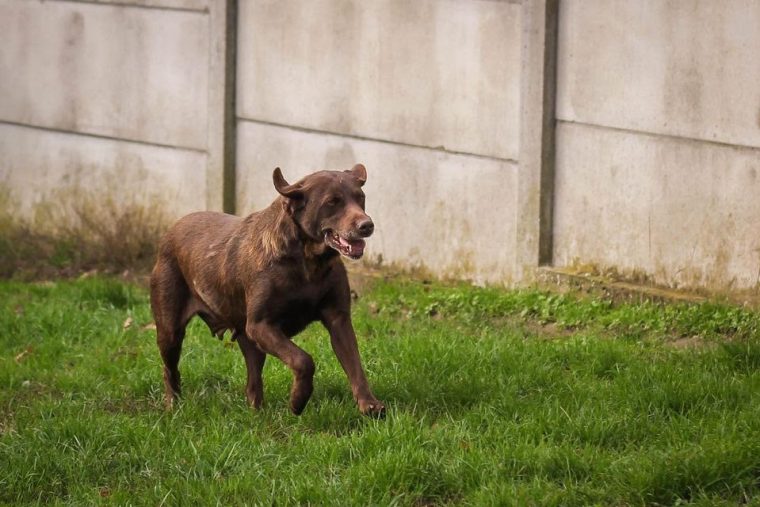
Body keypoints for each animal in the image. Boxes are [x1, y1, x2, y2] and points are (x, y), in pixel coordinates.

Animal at [151, 164, 382, 416]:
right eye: (332, 202)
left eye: (360, 198)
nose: (367, 225)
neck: (308, 262)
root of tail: (171, 230)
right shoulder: (261, 325)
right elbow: (303, 360)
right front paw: (298, 400)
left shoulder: (338, 319)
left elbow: (354, 364)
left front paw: (369, 404)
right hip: (170, 330)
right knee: (169, 369)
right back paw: (173, 405)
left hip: (248, 340)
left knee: (252, 384)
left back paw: (257, 414)